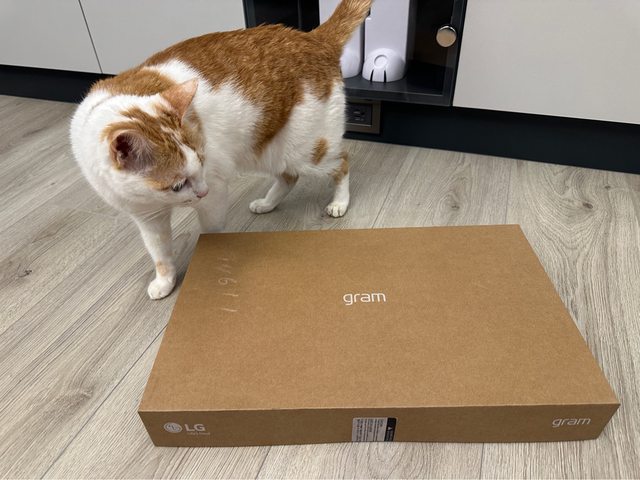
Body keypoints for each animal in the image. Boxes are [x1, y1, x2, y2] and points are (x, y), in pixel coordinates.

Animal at [70, 0, 372, 300]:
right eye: (177, 185)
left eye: (203, 162)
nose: (201, 192)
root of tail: (313, 37)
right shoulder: (147, 217)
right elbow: (160, 253)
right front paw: (165, 281)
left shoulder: (214, 192)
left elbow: (211, 235)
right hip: (268, 150)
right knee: (289, 176)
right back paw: (267, 203)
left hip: (304, 149)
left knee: (341, 163)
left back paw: (339, 202)